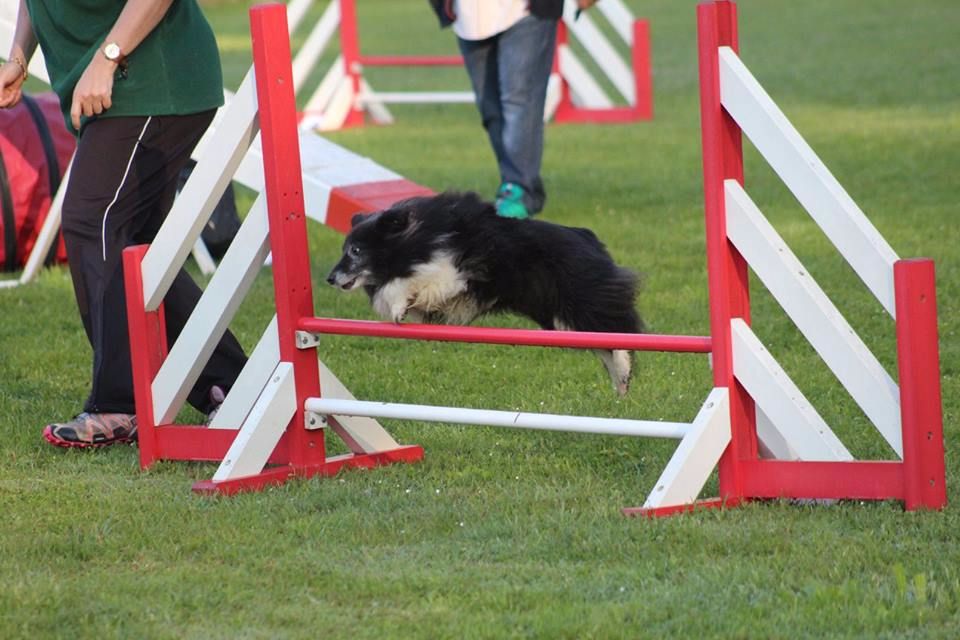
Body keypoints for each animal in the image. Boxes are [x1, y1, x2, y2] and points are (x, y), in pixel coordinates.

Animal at [326, 191, 648, 396]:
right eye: (344, 249)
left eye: (355, 250)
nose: (330, 278)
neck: (414, 238)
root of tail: (589, 237)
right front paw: (403, 307)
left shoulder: (454, 267)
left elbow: (417, 282)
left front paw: (398, 305)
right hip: (561, 320)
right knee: (603, 342)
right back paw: (620, 385)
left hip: (581, 301)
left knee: (619, 332)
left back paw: (622, 375)